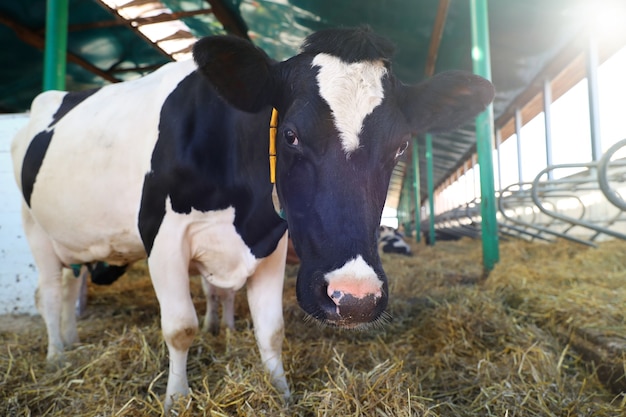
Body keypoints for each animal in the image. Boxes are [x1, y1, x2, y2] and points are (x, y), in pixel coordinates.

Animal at [11, 26, 492, 410]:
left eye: (401, 146)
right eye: (291, 134)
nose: (355, 299)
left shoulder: (272, 240)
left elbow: (271, 329)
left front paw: (281, 393)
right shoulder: (162, 237)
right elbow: (180, 328)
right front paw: (177, 399)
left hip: (72, 241)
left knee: (69, 283)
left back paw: (70, 340)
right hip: (36, 230)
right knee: (48, 293)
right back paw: (56, 356)